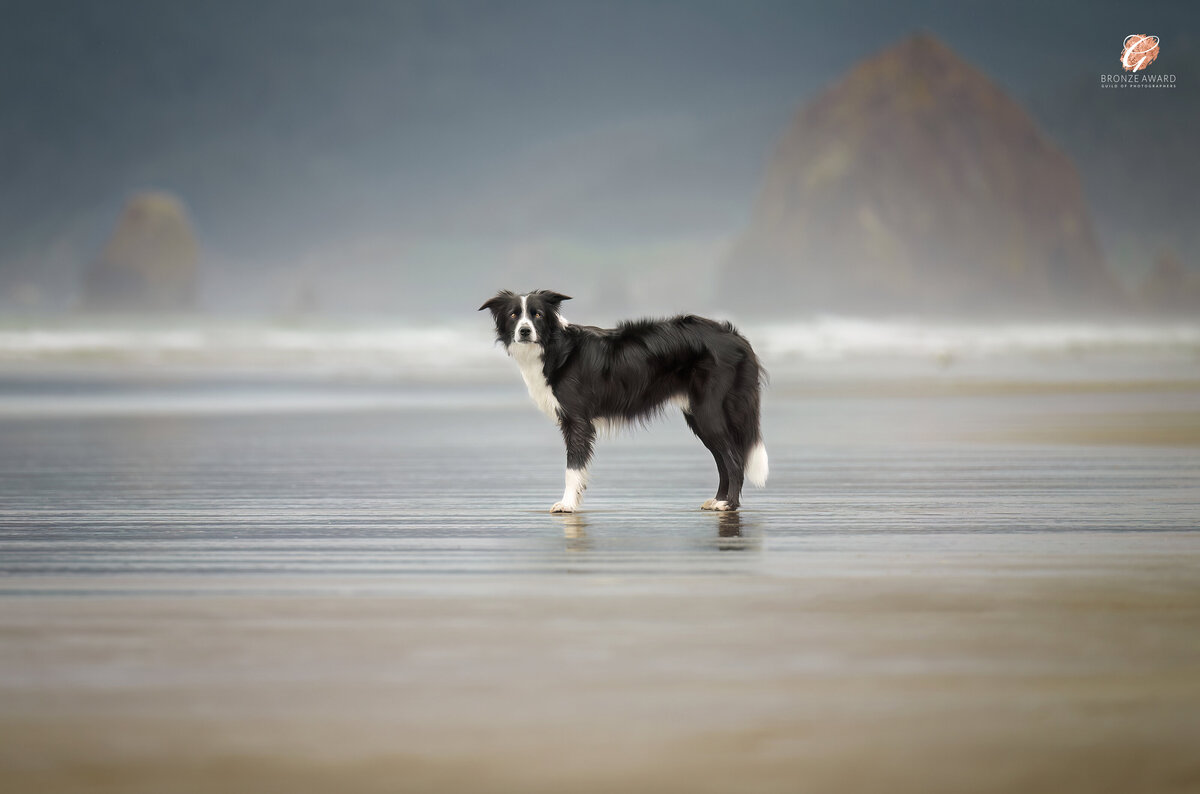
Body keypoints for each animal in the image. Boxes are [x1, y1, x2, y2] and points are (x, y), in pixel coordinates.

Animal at [480, 289, 768, 513]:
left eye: (537, 314)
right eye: (514, 315)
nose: (524, 331)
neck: (555, 348)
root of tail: (737, 337)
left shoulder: (577, 421)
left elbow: (572, 468)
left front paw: (568, 504)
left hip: (709, 411)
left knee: (734, 459)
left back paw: (729, 505)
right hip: (698, 416)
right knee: (723, 460)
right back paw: (718, 500)